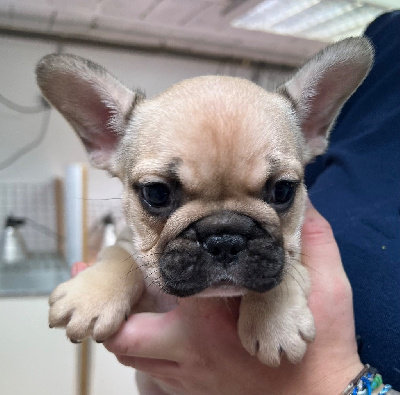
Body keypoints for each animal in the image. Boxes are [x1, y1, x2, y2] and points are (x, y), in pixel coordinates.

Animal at [36, 38, 374, 384]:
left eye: (283, 191)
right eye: (156, 193)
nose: (224, 238)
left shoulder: (291, 249)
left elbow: (285, 268)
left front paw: (274, 322)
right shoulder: (129, 244)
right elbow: (119, 255)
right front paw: (89, 296)